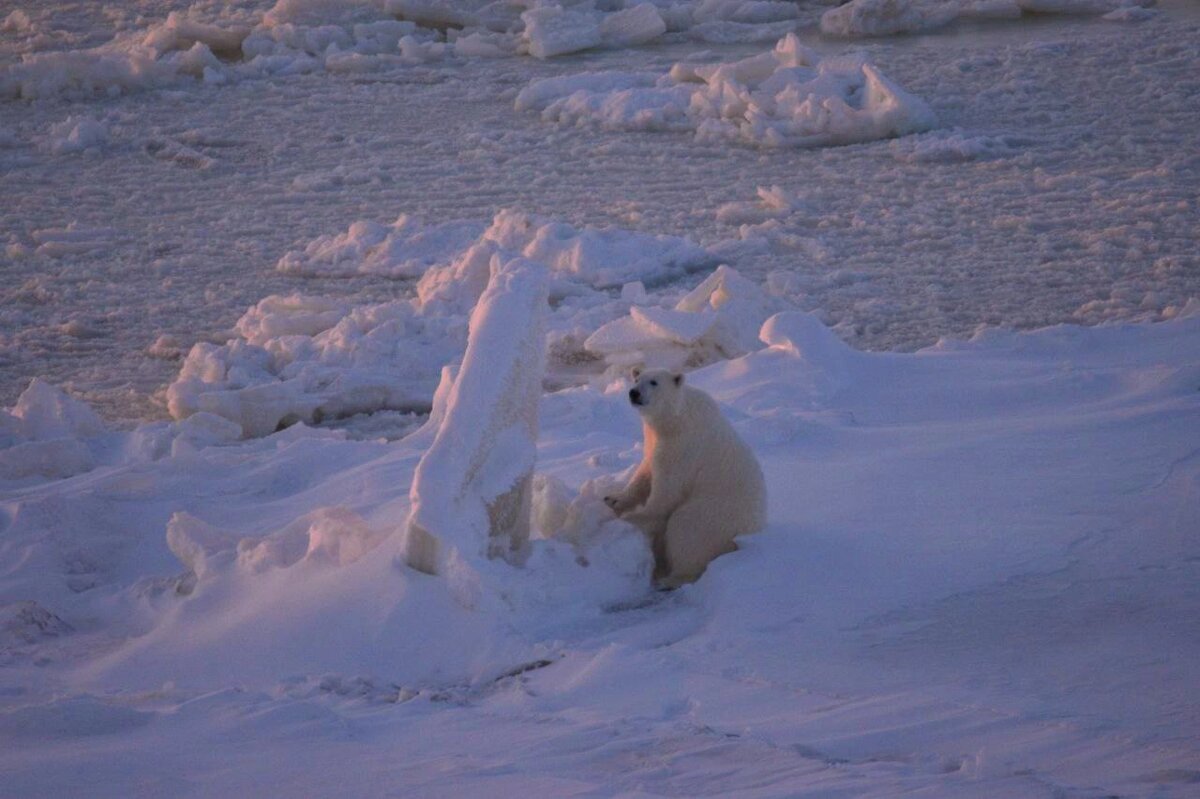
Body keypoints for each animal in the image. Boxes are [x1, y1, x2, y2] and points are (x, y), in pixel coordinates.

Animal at [604, 367, 763, 585]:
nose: (634, 393)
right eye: (637, 379)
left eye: (654, 382)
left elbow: (666, 492)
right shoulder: (655, 440)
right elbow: (645, 470)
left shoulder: (683, 448)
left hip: (712, 516)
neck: (676, 419)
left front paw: (630, 518)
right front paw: (614, 499)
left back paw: (668, 579)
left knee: (686, 531)